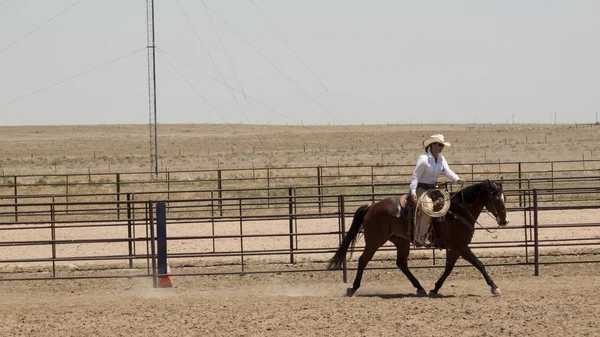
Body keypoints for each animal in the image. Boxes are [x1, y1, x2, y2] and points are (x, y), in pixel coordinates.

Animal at [326, 180, 508, 296]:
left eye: (504, 197)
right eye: (495, 198)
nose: (504, 221)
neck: (459, 212)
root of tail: (371, 206)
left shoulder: (456, 248)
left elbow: (448, 268)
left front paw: (435, 289)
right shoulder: (461, 246)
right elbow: (479, 264)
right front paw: (495, 287)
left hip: (401, 241)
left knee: (401, 263)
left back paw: (419, 287)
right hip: (374, 240)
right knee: (363, 260)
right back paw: (353, 288)